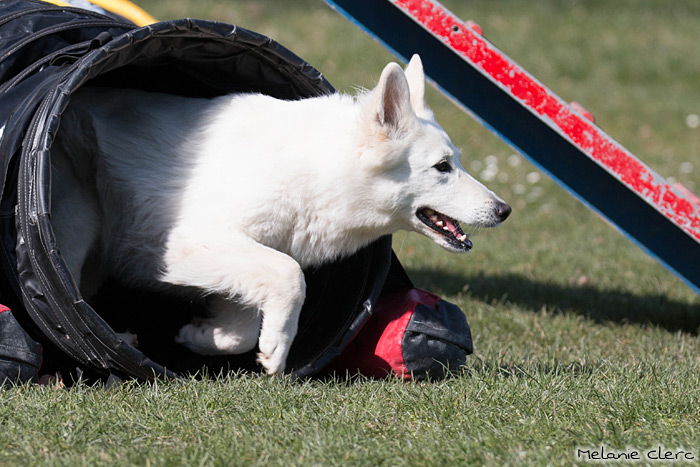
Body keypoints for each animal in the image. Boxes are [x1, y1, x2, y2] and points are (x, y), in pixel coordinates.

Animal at [50, 55, 511, 374]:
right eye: (442, 167)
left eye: (458, 162)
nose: (504, 210)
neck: (317, 169)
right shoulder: (188, 244)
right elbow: (291, 276)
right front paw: (277, 348)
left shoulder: (242, 257)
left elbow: (241, 329)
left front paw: (203, 337)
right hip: (77, 226)